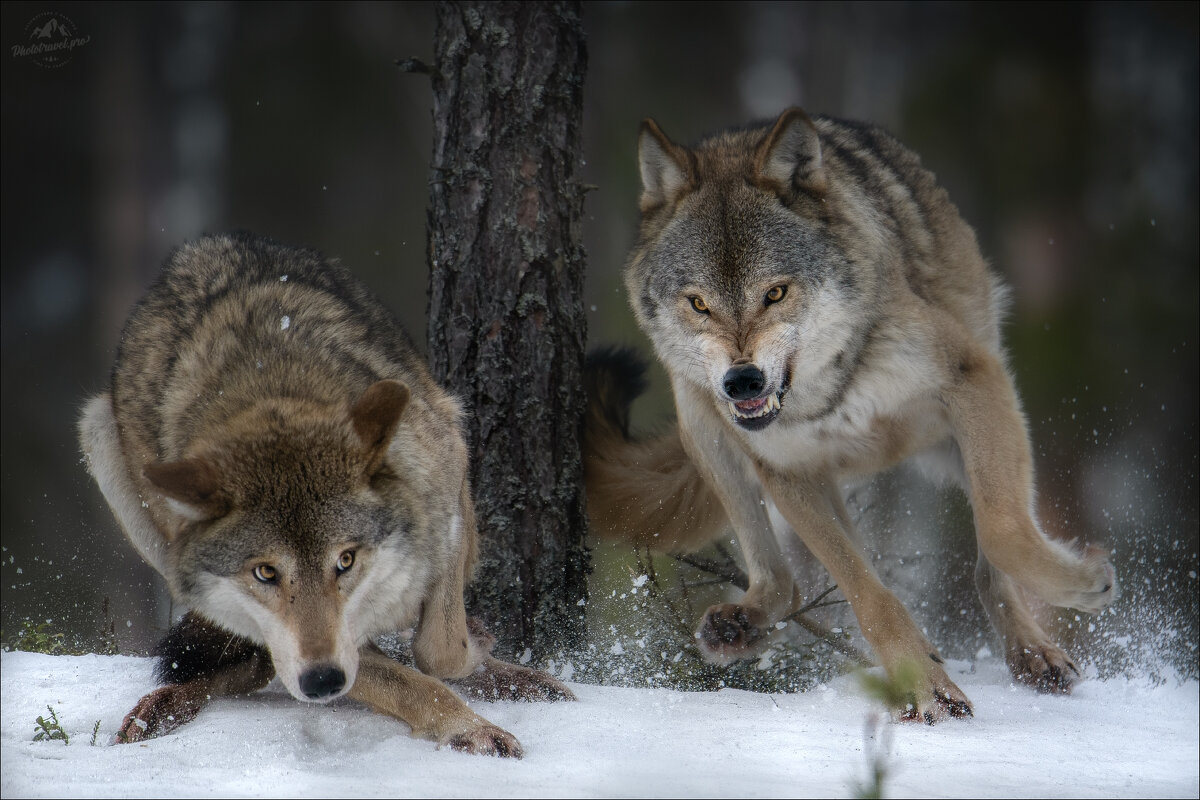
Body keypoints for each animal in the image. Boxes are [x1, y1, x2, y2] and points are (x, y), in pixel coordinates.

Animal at [82, 231, 573, 758]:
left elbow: (437, 652)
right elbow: (397, 675)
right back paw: (161, 706)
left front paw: (477, 655)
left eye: (346, 560)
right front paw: (467, 727)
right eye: (265, 572)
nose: (322, 682)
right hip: (98, 434)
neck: (271, 389)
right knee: (251, 663)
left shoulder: (445, 474)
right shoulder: (299, 645)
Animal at [585, 109, 1118, 724]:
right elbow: (870, 595)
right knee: (786, 586)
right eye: (699, 304)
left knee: (992, 555)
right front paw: (924, 686)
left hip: (975, 432)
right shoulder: (787, 471)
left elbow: (1004, 532)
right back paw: (742, 625)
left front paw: (1086, 583)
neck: (829, 392)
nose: (742, 382)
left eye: (775, 293)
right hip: (704, 422)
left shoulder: (974, 378)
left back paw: (1034, 652)